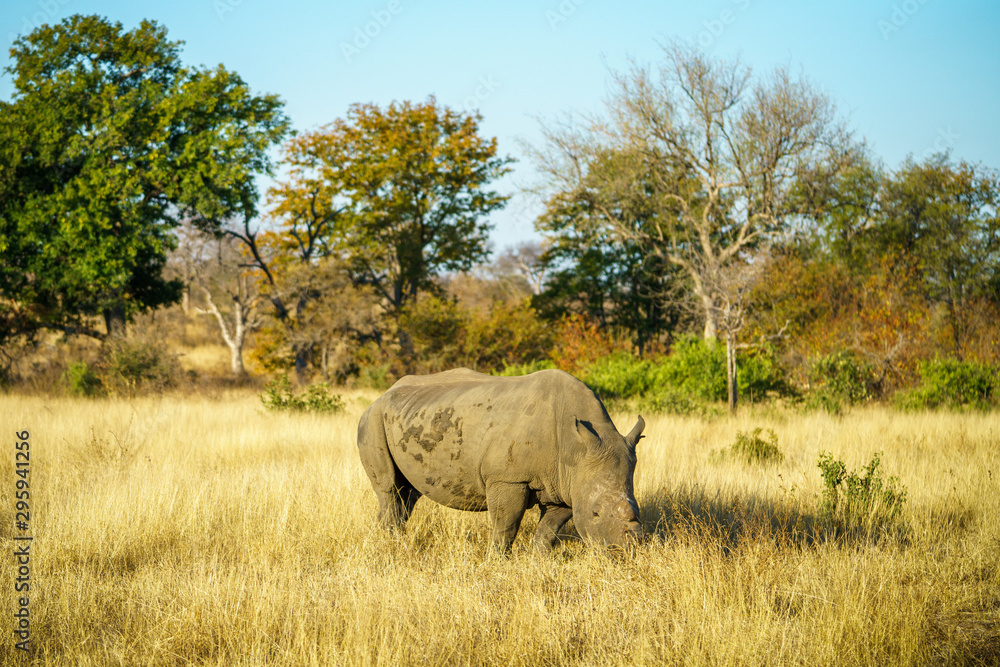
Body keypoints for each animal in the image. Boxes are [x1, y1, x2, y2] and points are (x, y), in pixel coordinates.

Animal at [356, 366, 644, 552]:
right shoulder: (508, 478)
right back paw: (392, 545)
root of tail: (382, 394)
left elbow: (549, 527)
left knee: (408, 493)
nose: (626, 549)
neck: (575, 448)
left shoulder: (566, 483)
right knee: (389, 489)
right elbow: (507, 524)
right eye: (595, 513)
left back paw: (389, 539)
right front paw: (498, 560)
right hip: (371, 420)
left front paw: (540, 558)